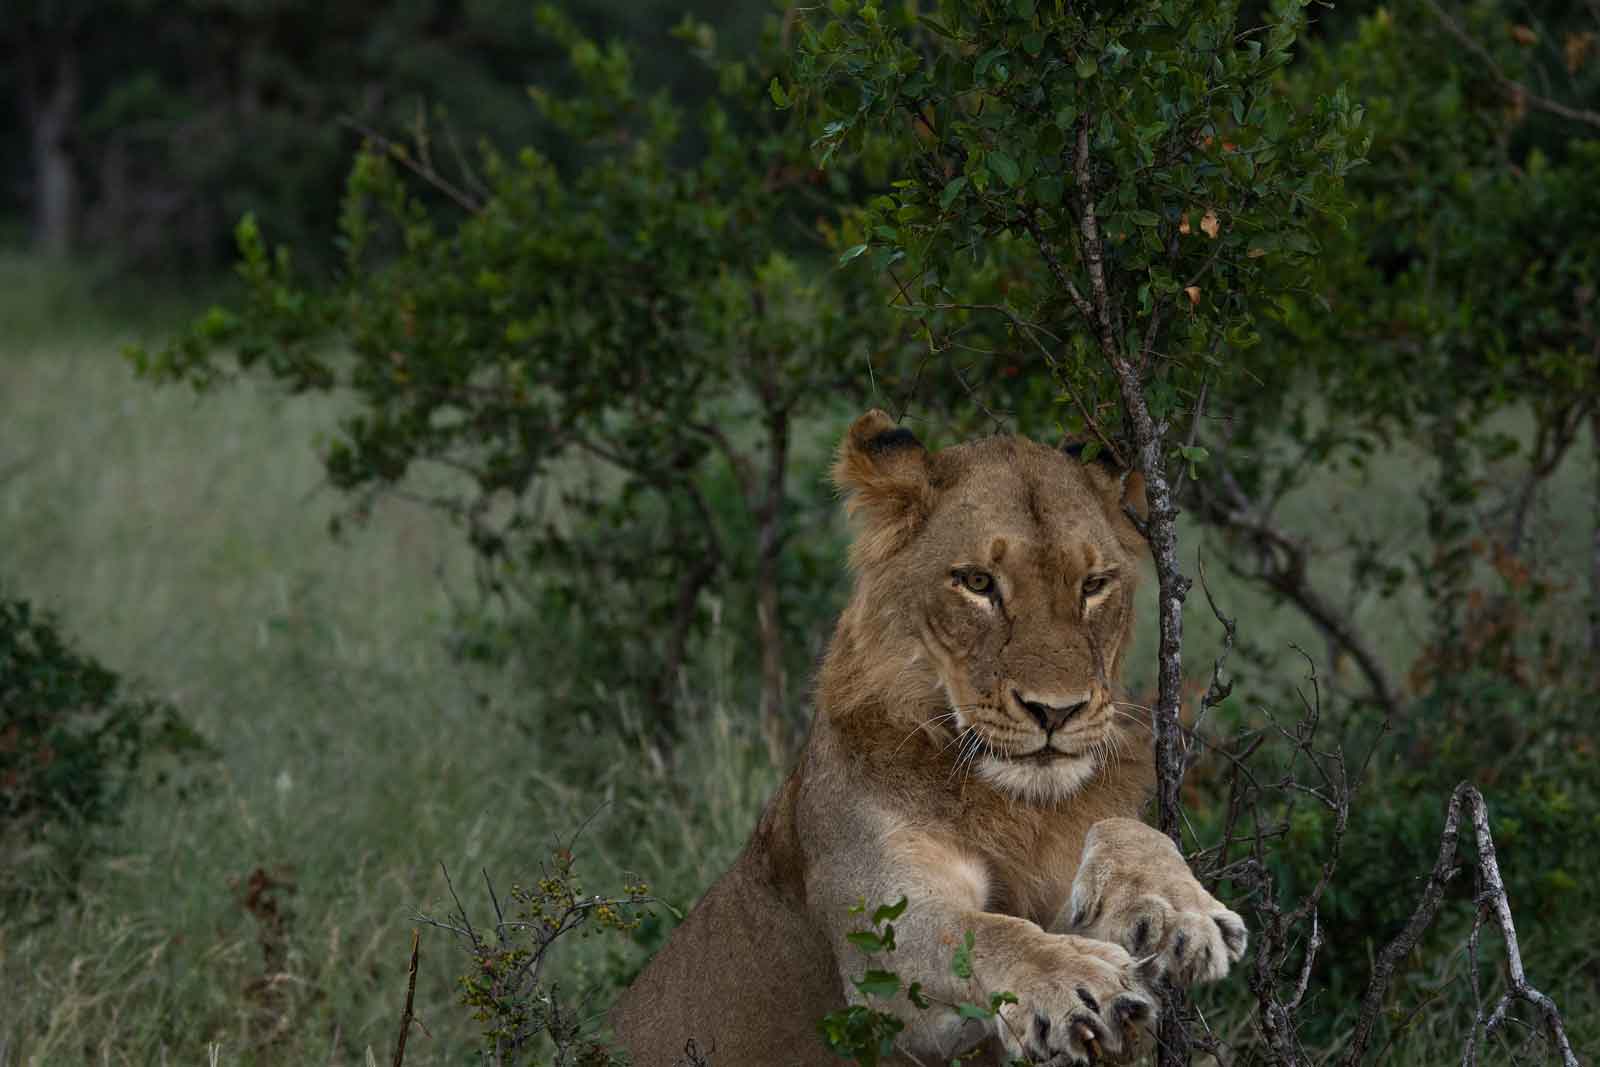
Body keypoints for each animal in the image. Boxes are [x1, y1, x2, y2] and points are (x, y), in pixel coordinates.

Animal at [614, 411, 1247, 1066]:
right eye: (978, 582)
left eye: (1094, 584)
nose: (1056, 711)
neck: (1015, 804)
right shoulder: (882, 966)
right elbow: (981, 931)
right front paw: (1080, 982)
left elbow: (1124, 828)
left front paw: (1179, 911)